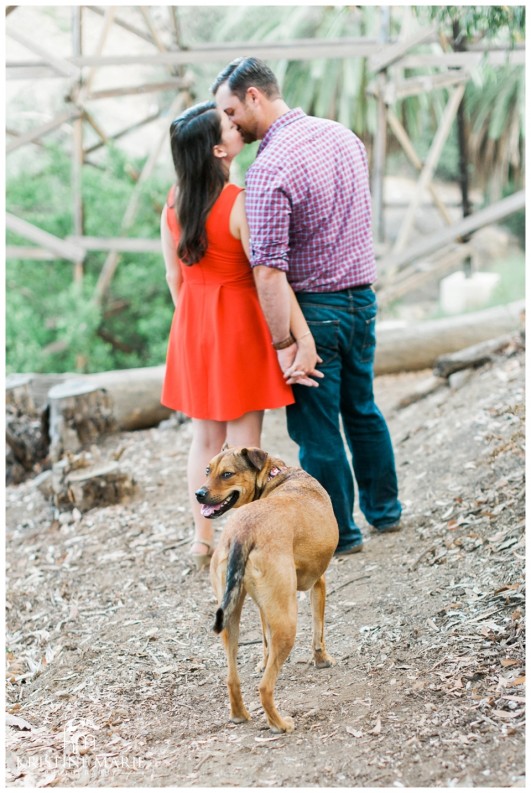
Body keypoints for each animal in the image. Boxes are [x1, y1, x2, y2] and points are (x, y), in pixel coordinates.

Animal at [196, 446, 340, 732]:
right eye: (208, 471)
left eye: (226, 474)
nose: (199, 494)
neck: (276, 475)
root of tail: (243, 532)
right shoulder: (318, 583)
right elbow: (318, 632)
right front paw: (322, 661)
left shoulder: (264, 607)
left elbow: (264, 640)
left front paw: (263, 661)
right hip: (288, 622)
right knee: (264, 687)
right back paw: (280, 723)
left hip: (231, 619)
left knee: (232, 678)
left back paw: (240, 715)